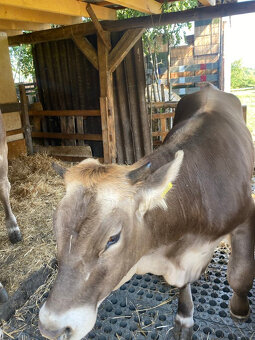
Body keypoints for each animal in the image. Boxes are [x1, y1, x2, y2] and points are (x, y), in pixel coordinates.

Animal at [38, 84, 255, 340]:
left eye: (113, 238)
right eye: (55, 229)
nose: (52, 328)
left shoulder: (246, 215)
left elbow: (240, 273)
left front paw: (239, 309)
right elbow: (184, 287)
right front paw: (184, 318)